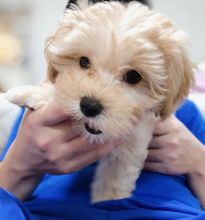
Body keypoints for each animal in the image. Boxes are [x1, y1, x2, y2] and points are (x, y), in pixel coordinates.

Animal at [5, 0, 194, 203]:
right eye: (83, 62)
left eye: (133, 76)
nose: (89, 106)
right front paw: (31, 93)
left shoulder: (132, 145)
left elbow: (112, 183)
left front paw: (106, 200)